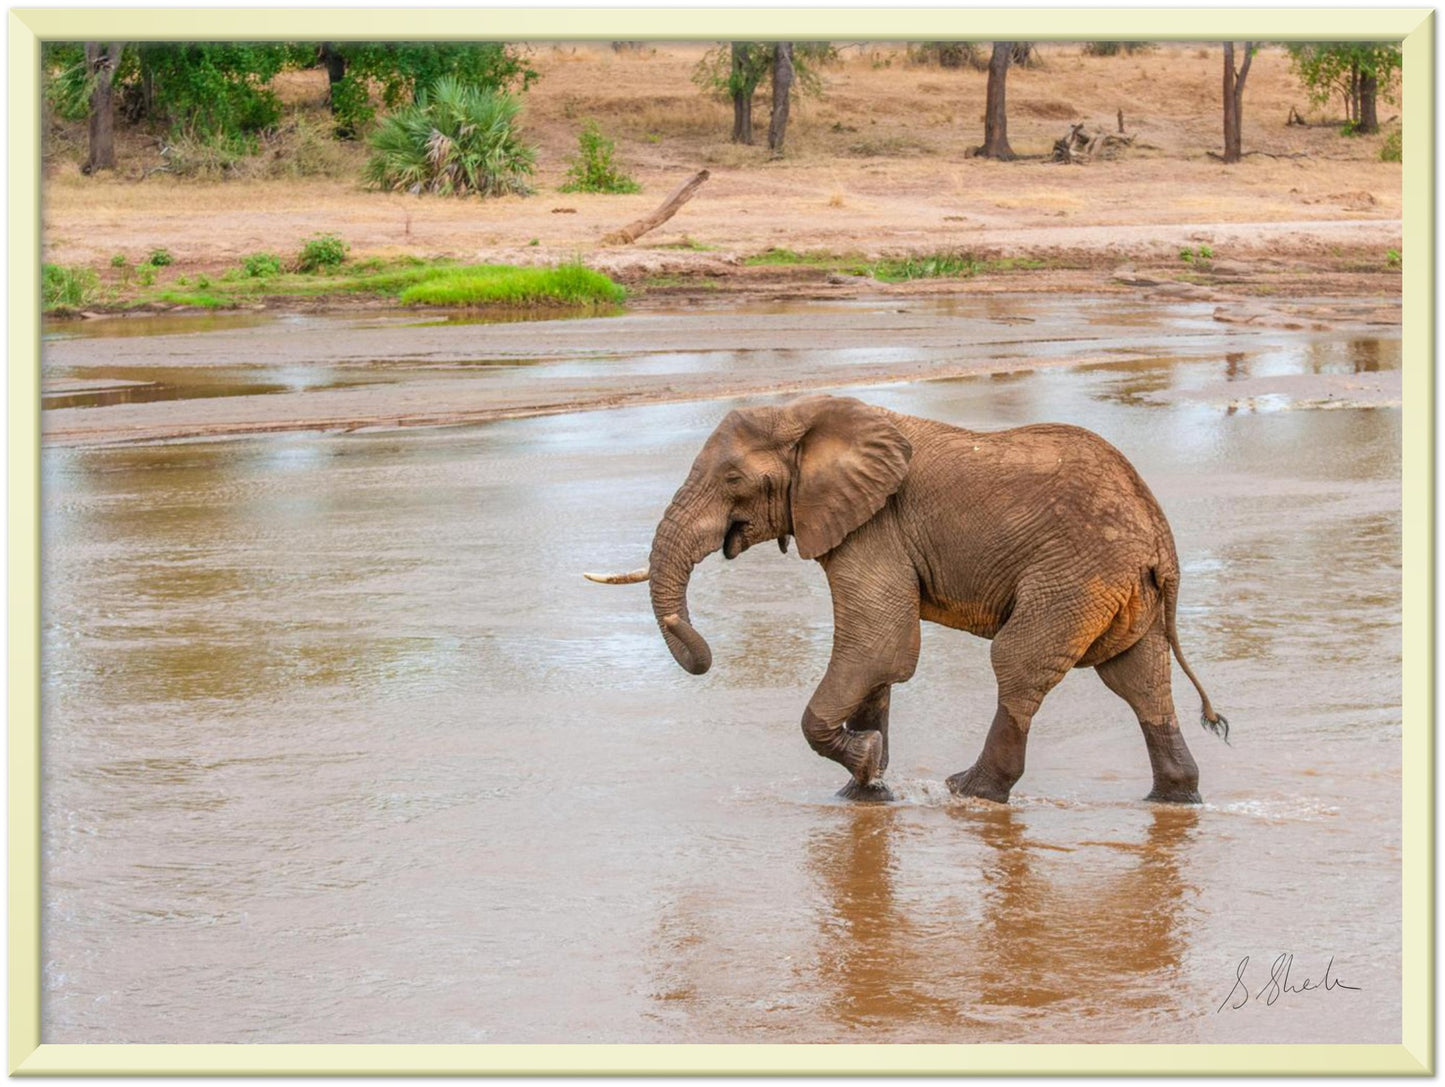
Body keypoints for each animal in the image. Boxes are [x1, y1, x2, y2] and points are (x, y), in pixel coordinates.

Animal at [589, 396, 1231, 803]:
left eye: (730, 481)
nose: (704, 657)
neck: (806, 413)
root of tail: (1159, 538)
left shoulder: (875, 527)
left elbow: (878, 645)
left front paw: (869, 766)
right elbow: (878, 664)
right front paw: (865, 791)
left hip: (1074, 577)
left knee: (1018, 662)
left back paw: (969, 791)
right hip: (1123, 591)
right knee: (1139, 679)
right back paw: (1175, 798)